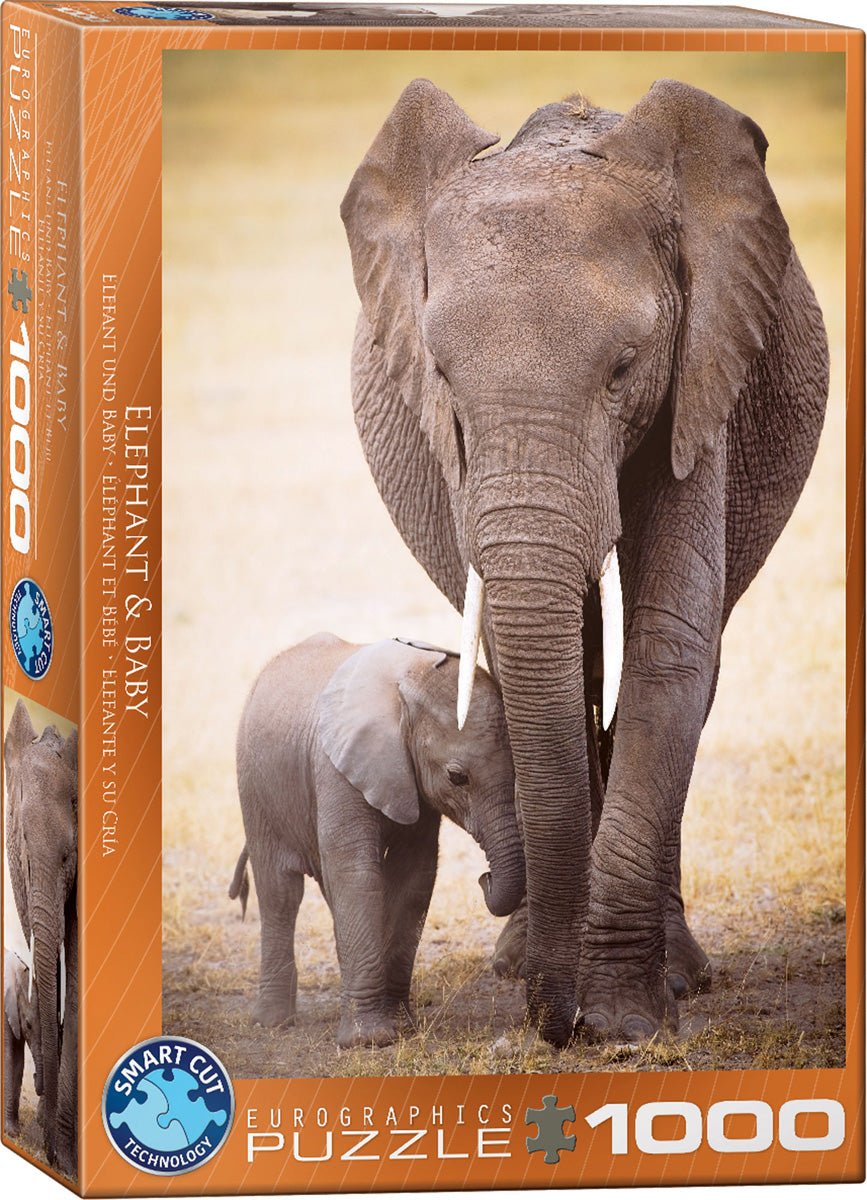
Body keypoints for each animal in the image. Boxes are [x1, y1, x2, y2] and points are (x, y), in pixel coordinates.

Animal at [230, 633, 523, 1048]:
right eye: (457, 777)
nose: (485, 878)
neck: (407, 685)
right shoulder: (335, 768)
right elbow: (357, 875)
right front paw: (369, 1041)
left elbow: (414, 877)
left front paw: (402, 1026)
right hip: (255, 786)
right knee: (280, 891)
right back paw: (272, 1022)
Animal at [341, 79, 829, 1046]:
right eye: (441, 376)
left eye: (623, 369)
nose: (551, 1025)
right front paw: (568, 992)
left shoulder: (702, 375)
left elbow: (667, 647)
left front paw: (626, 1021)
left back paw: (677, 974)